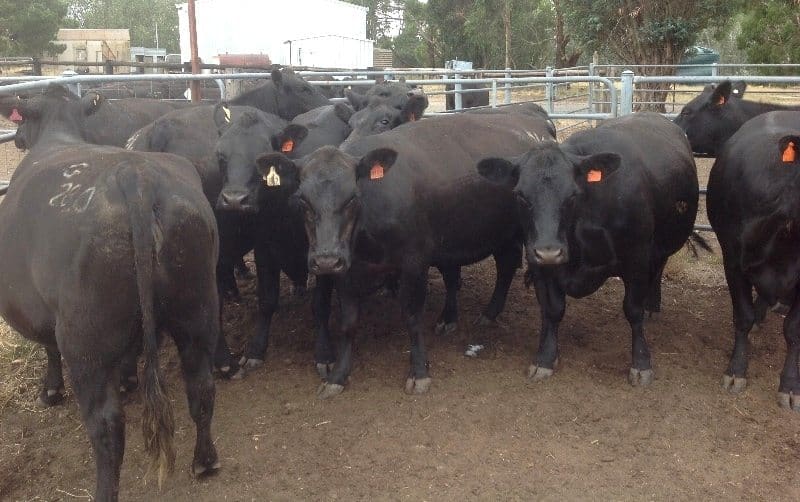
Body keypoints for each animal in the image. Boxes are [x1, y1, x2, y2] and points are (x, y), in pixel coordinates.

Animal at [0, 85, 220, 500]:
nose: (17, 139)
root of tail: (134, 174)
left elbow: (48, 349)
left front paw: (50, 391)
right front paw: (128, 378)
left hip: (85, 339)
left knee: (107, 428)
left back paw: (104, 490)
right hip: (197, 306)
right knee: (201, 385)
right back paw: (205, 461)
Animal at [257, 112, 556, 398]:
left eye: (352, 197)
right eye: (302, 200)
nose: (326, 259)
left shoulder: (414, 262)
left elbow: (412, 317)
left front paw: (419, 372)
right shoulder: (346, 270)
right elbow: (348, 323)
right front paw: (338, 376)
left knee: (508, 267)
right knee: (504, 264)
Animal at [477, 112, 699, 385]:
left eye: (572, 195)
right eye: (520, 195)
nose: (549, 251)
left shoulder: (636, 255)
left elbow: (632, 309)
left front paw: (641, 363)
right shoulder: (538, 263)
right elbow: (552, 310)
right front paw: (545, 357)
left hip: (662, 243)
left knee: (658, 269)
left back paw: (652, 305)